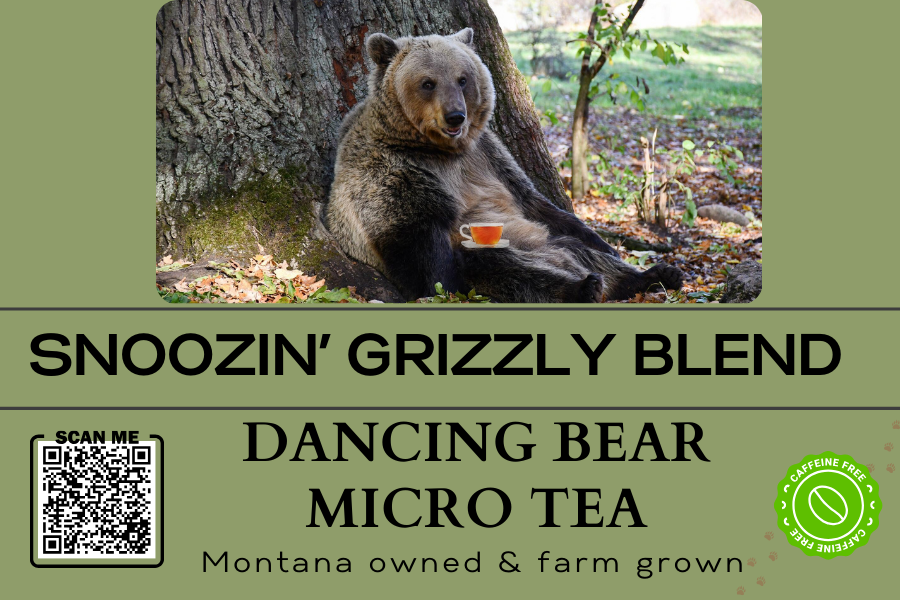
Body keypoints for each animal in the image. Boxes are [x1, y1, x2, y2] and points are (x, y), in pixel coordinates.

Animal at [324, 28, 682, 303]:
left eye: (463, 79)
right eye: (428, 82)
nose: (456, 116)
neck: (437, 149)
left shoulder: (489, 157)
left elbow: (536, 202)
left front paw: (612, 246)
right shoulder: (394, 174)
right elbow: (426, 256)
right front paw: (441, 282)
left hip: (551, 241)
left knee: (580, 249)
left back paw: (656, 274)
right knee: (505, 268)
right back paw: (584, 287)